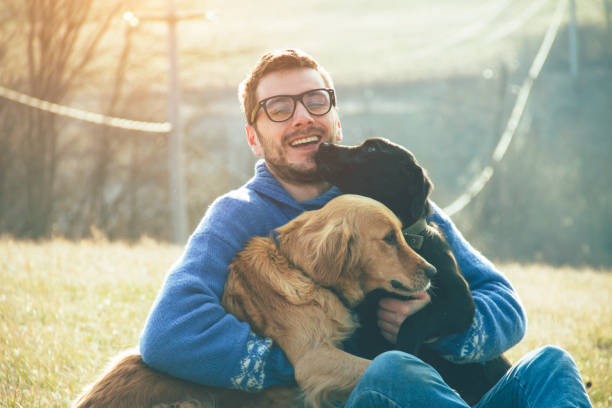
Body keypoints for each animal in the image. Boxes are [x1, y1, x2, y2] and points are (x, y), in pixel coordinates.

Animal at [74, 194, 436, 408]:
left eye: (403, 235)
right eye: (389, 239)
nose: (432, 270)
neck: (305, 272)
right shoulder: (313, 360)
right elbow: (383, 364)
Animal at [316, 138, 512, 404]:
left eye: (371, 149)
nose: (323, 146)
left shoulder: (461, 303)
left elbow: (414, 321)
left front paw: (404, 352)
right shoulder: (367, 325)